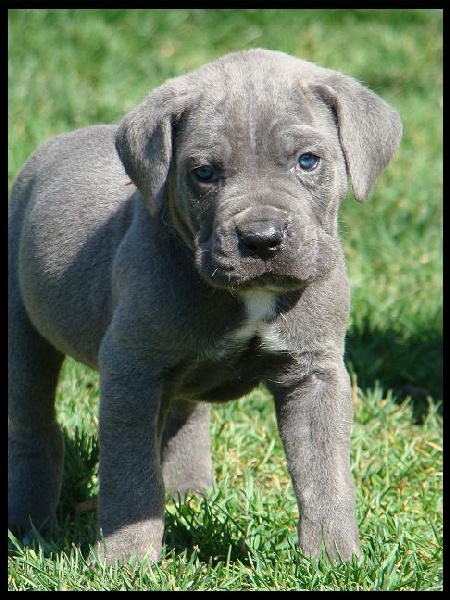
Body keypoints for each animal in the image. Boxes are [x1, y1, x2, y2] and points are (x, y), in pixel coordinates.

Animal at [7, 49, 400, 564]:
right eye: (205, 172)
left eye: (308, 161)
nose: (261, 239)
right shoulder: (132, 369)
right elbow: (130, 476)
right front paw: (126, 561)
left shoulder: (315, 372)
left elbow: (324, 471)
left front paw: (334, 559)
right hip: (23, 332)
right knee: (33, 424)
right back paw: (30, 523)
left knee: (183, 412)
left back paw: (188, 492)